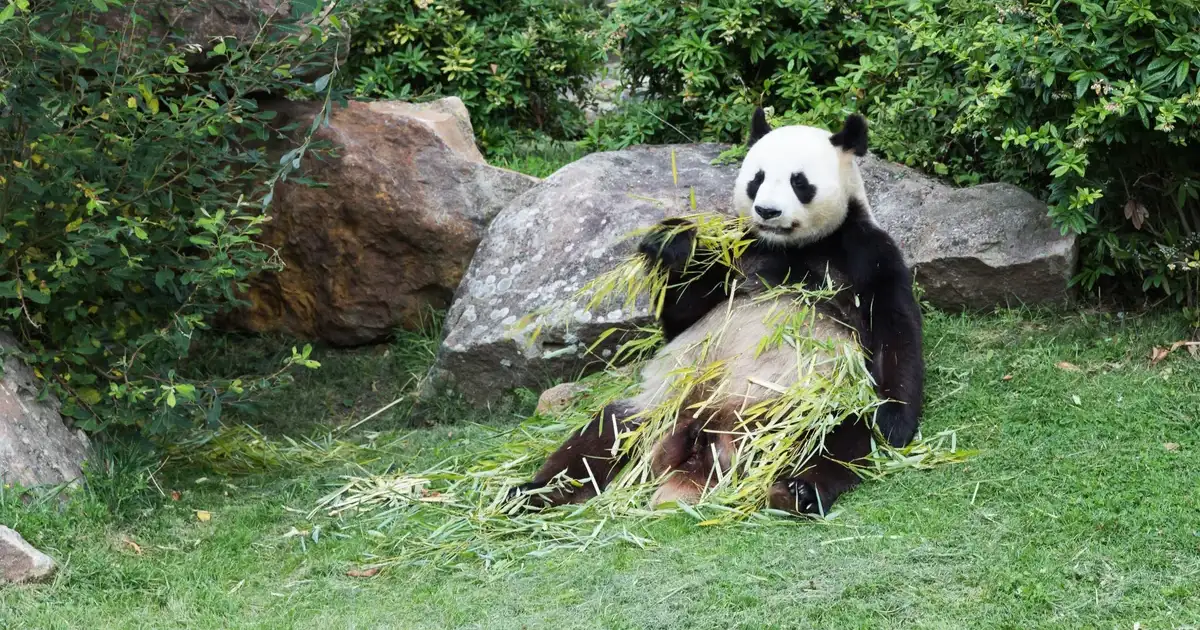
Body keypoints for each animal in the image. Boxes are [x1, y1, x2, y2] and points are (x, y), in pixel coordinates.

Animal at [510, 109, 924, 516]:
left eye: (799, 181)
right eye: (757, 179)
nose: (767, 211)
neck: (791, 246)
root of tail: (708, 442)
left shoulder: (865, 253)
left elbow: (894, 333)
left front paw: (893, 422)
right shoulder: (739, 251)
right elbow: (684, 317)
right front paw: (672, 242)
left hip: (808, 408)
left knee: (838, 439)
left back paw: (796, 490)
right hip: (662, 403)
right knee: (604, 432)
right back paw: (532, 493)